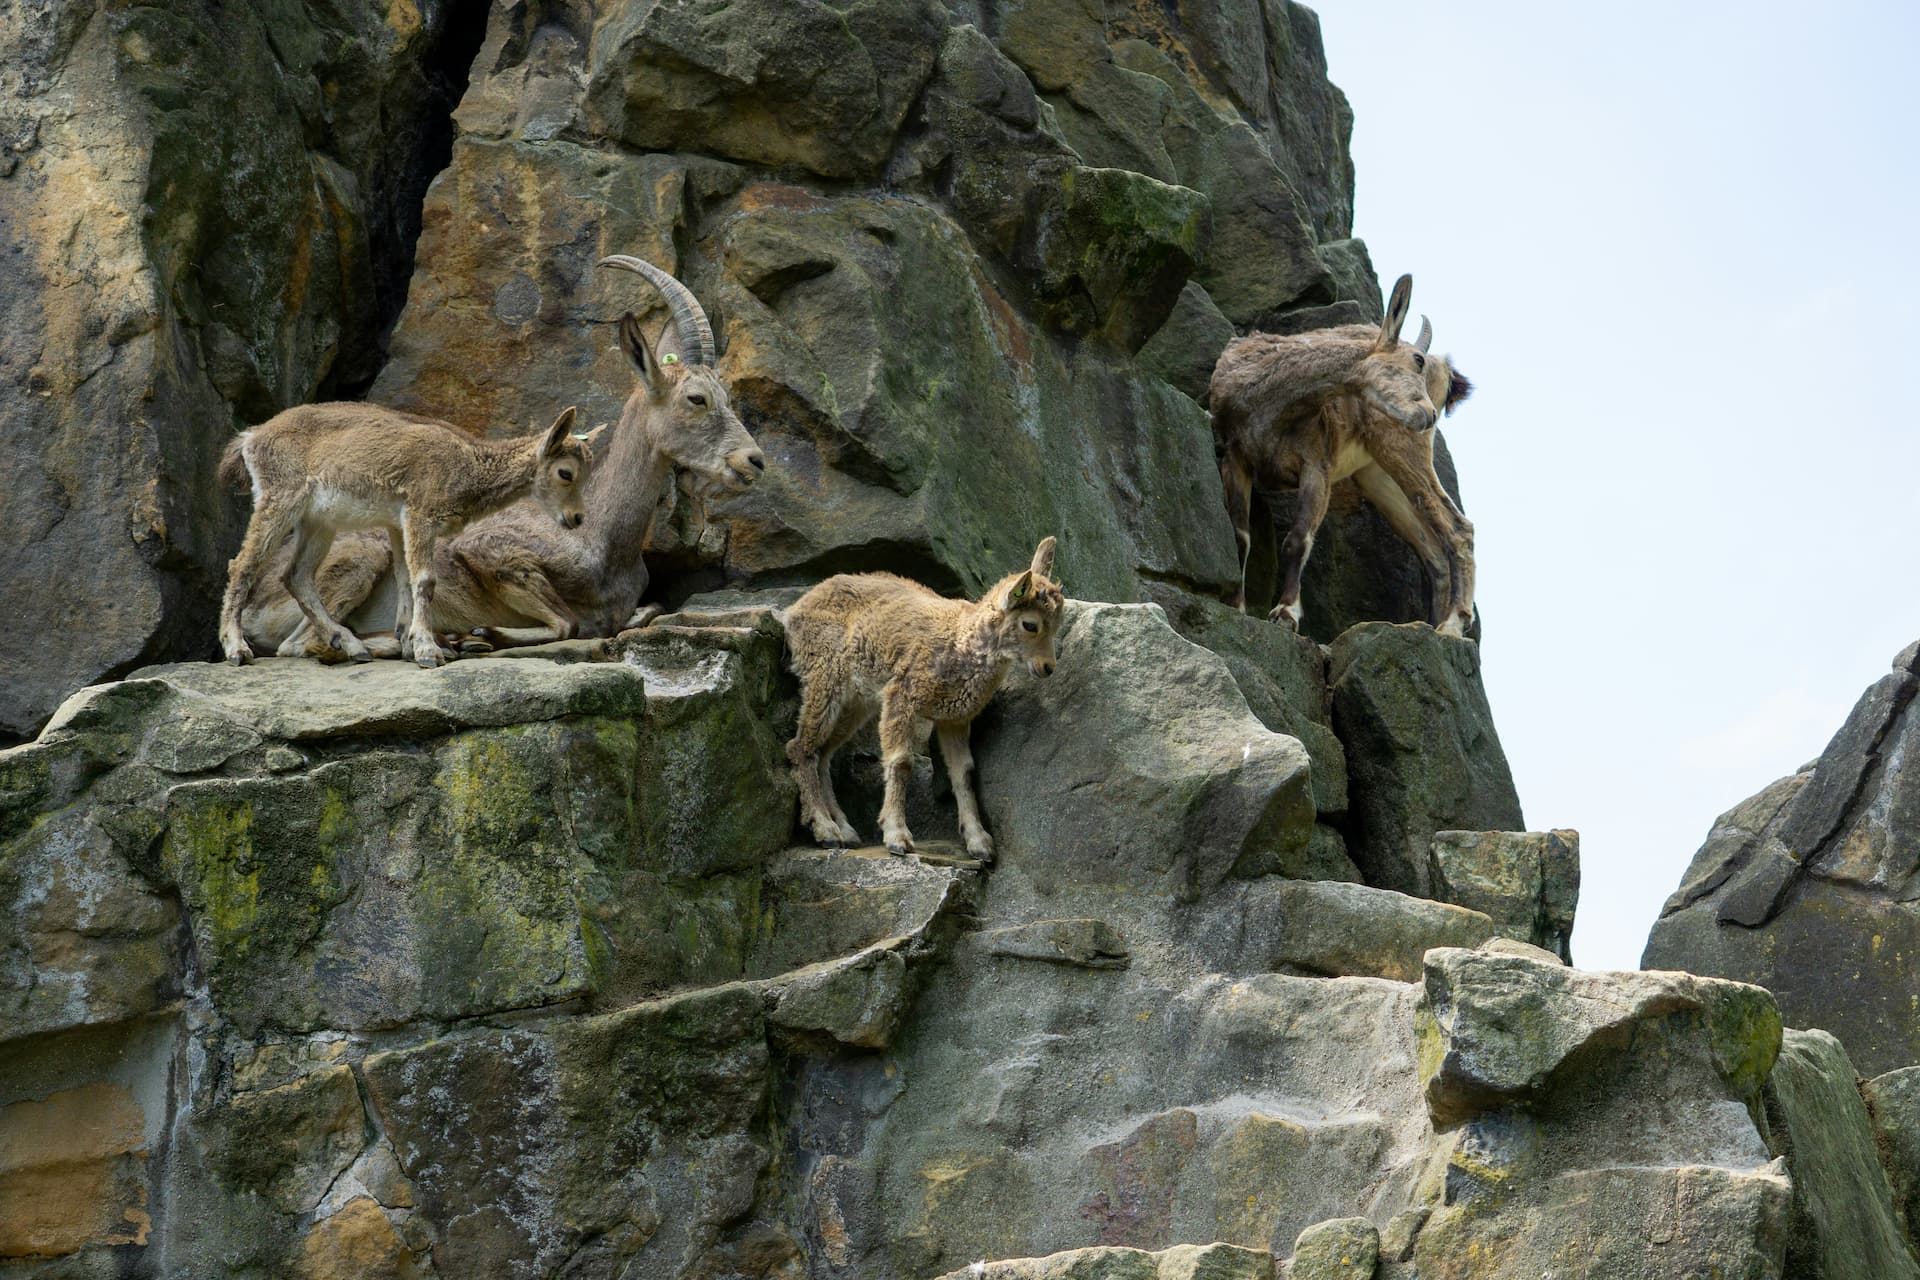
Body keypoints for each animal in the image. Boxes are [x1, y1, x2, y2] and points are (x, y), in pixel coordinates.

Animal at [217, 403, 590, 669]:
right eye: (565, 473)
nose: (576, 517)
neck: (466, 466)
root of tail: (250, 439)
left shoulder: (398, 524)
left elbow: (405, 581)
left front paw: (411, 645)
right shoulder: (420, 515)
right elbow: (424, 580)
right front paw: (427, 652)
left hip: (318, 522)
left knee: (296, 577)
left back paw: (353, 645)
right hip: (280, 499)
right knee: (242, 565)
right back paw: (238, 650)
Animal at [784, 538, 1065, 861]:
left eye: (1057, 623)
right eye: (1030, 624)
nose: (1047, 667)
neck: (960, 644)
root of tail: (794, 610)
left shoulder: (954, 719)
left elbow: (964, 773)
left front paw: (979, 841)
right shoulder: (902, 696)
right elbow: (901, 762)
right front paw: (897, 836)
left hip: (857, 703)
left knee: (824, 753)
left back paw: (845, 830)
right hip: (824, 677)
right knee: (801, 747)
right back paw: (825, 828)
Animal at [1210, 274, 1476, 636]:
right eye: (1415, 360)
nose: (1428, 414)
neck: (1270, 404)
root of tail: (1446, 371)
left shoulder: (1317, 463)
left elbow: (1298, 538)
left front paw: (1286, 613)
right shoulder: (1235, 457)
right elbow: (1240, 535)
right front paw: (1235, 605)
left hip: (1403, 446)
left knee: (1458, 527)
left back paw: (1452, 624)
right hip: (1376, 473)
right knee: (1432, 550)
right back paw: (1429, 624)